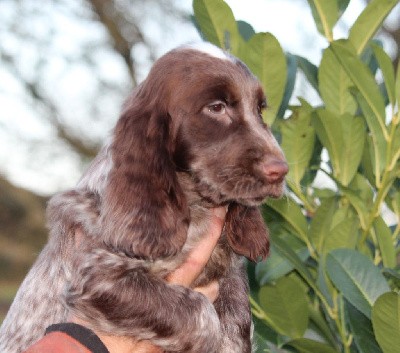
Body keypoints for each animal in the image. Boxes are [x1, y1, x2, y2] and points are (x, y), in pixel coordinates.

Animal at [0, 43, 288, 352]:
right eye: (216, 107)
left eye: (259, 110)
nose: (280, 171)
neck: (193, 202)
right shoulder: (101, 277)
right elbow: (200, 312)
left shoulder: (230, 278)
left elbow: (236, 324)